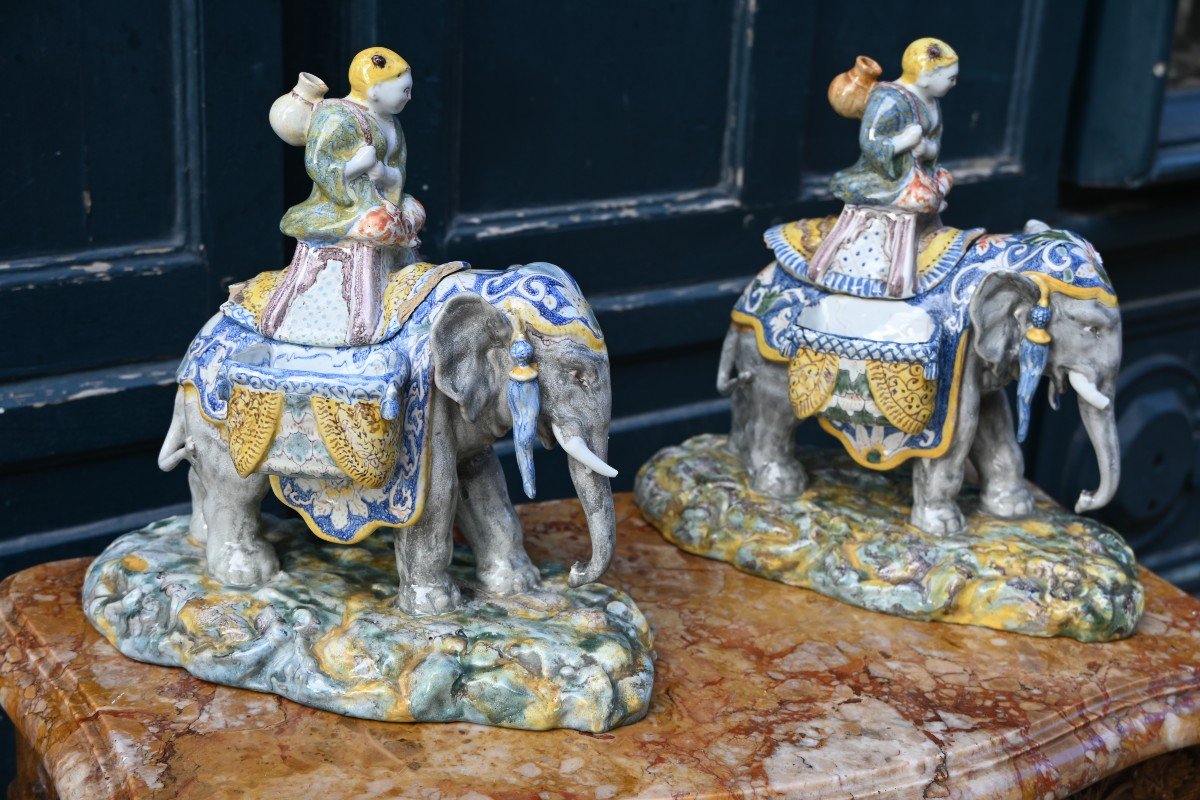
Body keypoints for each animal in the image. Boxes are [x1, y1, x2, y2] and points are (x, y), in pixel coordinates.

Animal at [157, 261, 619, 614]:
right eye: (577, 375)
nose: (575, 572)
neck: (485, 286)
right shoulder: (425, 404)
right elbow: (437, 497)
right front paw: (437, 610)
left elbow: (487, 483)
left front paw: (520, 585)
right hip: (219, 414)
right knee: (236, 490)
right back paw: (247, 575)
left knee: (202, 476)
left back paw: (197, 539)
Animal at [715, 221, 1118, 534]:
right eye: (1092, 329)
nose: (1082, 499)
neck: (1007, 258)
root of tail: (745, 299)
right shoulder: (958, 353)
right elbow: (959, 435)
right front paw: (944, 529)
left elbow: (995, 422)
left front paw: (1014, 510)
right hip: (771, 351)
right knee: (774, 412)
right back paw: (780, 486)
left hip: (751, 350)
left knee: (747, 398)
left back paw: (736, 456)